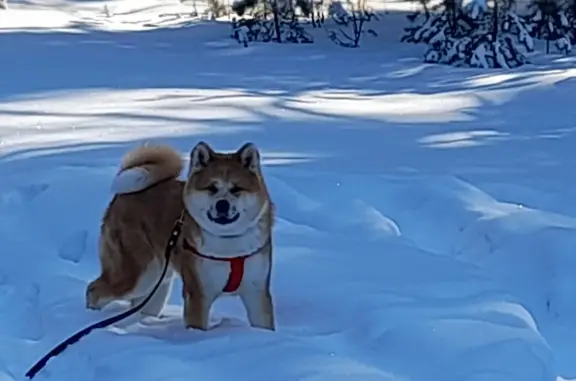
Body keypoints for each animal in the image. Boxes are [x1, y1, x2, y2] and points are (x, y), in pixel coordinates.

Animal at [84, 140, 276, 330]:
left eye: (236, 189)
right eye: (211, 188)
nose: (222, 205)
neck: (228, 245)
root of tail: (122, 195)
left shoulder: (256, 292)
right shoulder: (198, 293)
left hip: (158, 283)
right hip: (140, 274)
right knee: (94, 290)